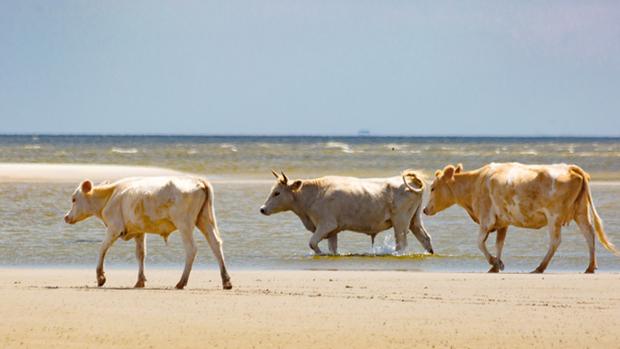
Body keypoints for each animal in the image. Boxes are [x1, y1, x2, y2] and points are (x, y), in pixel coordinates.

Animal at [63, 177, 232, 288]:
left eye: (74, 199)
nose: (66, 217)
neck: (111, 195)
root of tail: (199, 180)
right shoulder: (139, 231)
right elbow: (141, 254)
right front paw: (140, 281)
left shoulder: (114, 228)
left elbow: (102, 248)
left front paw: (100, 277)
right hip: (204, 220)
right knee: (215, 244)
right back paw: (226, 281)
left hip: (184, 224)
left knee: (191, 249)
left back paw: (181, 282)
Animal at [260, 170, 434, 254]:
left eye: (277, 193)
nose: (262, 209)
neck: (314, 194)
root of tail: (412, 181)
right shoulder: (332, 230)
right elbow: (332, 248)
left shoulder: (326, 224)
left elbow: (312, 243)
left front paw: (320, 253)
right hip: (414, 220)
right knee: (425, 238)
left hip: (401, 222)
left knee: (402, 244)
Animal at [422, 162, 616, 274]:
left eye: (432, 188)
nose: (425, 209)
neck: (476, 182)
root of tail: (570, 167)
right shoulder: (502, 222)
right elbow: (499, 244)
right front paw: (496, 265)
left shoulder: (486, 219)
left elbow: (479, 243)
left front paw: (495, 263)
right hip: (580, 212)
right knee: (589, 234)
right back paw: (590, 267)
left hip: (554, 217)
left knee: (555, 241)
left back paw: (540, 267)